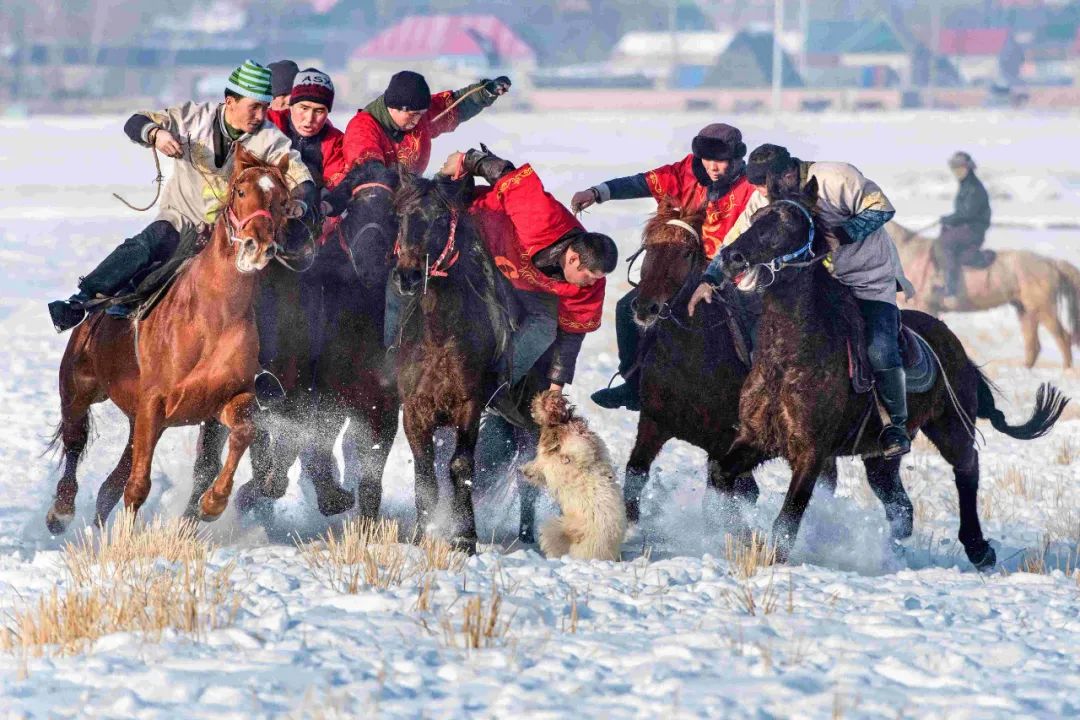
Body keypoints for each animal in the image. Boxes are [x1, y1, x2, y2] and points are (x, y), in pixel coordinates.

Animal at [46, 146, 291, 533]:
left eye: (283, 201)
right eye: (240, 192)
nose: (257, 247)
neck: (212, 319)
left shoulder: (225, 400)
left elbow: (243, 433)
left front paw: (212, 504)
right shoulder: (153, 404)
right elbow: (138, 485)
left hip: (136, 419)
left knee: (110, 483)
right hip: (79, 390)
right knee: (74, 442)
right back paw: (61, 512)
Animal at [393, 174, 514, 552]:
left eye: (440, 218)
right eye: (401, 216)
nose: (408, 275)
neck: (438, 337)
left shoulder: (468, 406)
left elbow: (461, 467)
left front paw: (465, 537)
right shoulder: (415, 410)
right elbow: (425, 473)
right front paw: (422, 535)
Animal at [712, 179, 1067, 569]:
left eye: (787, 221)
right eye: (756, 217)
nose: (731, 258)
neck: (789, 358)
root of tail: (956, 347)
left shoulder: (811, 452)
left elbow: (787, 518)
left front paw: (770, 554)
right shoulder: (756, 438)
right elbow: (721, 477)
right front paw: (739, 535)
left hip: (951, 427)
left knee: (966, 469)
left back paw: (979, 548)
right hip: (881, 458)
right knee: (901, 507)